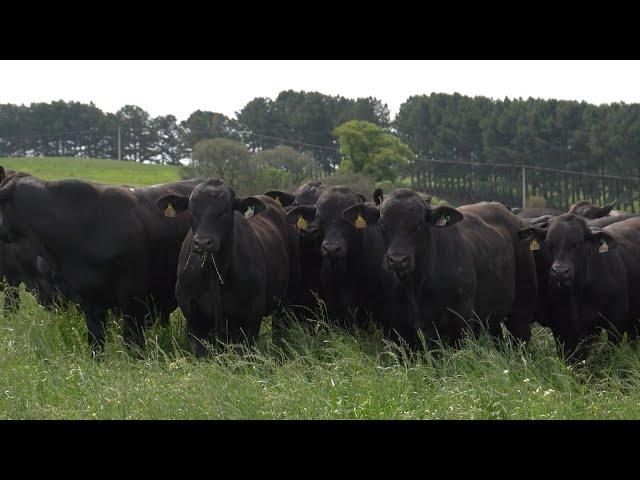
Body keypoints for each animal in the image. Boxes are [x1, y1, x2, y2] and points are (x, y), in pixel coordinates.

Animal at [155, 180, 298, 356]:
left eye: (224, 212)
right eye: (192, 211)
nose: (203, 242)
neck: (215, 272)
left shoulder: (251, 315)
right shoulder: (192, 314)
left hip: (284, 302)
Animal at [344, 191, 540, 348]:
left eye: (419, 225)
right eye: (382, 225)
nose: (398, 260)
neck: (416, 285)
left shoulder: (460, 323)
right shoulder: (397, 329)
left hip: (521, 310)